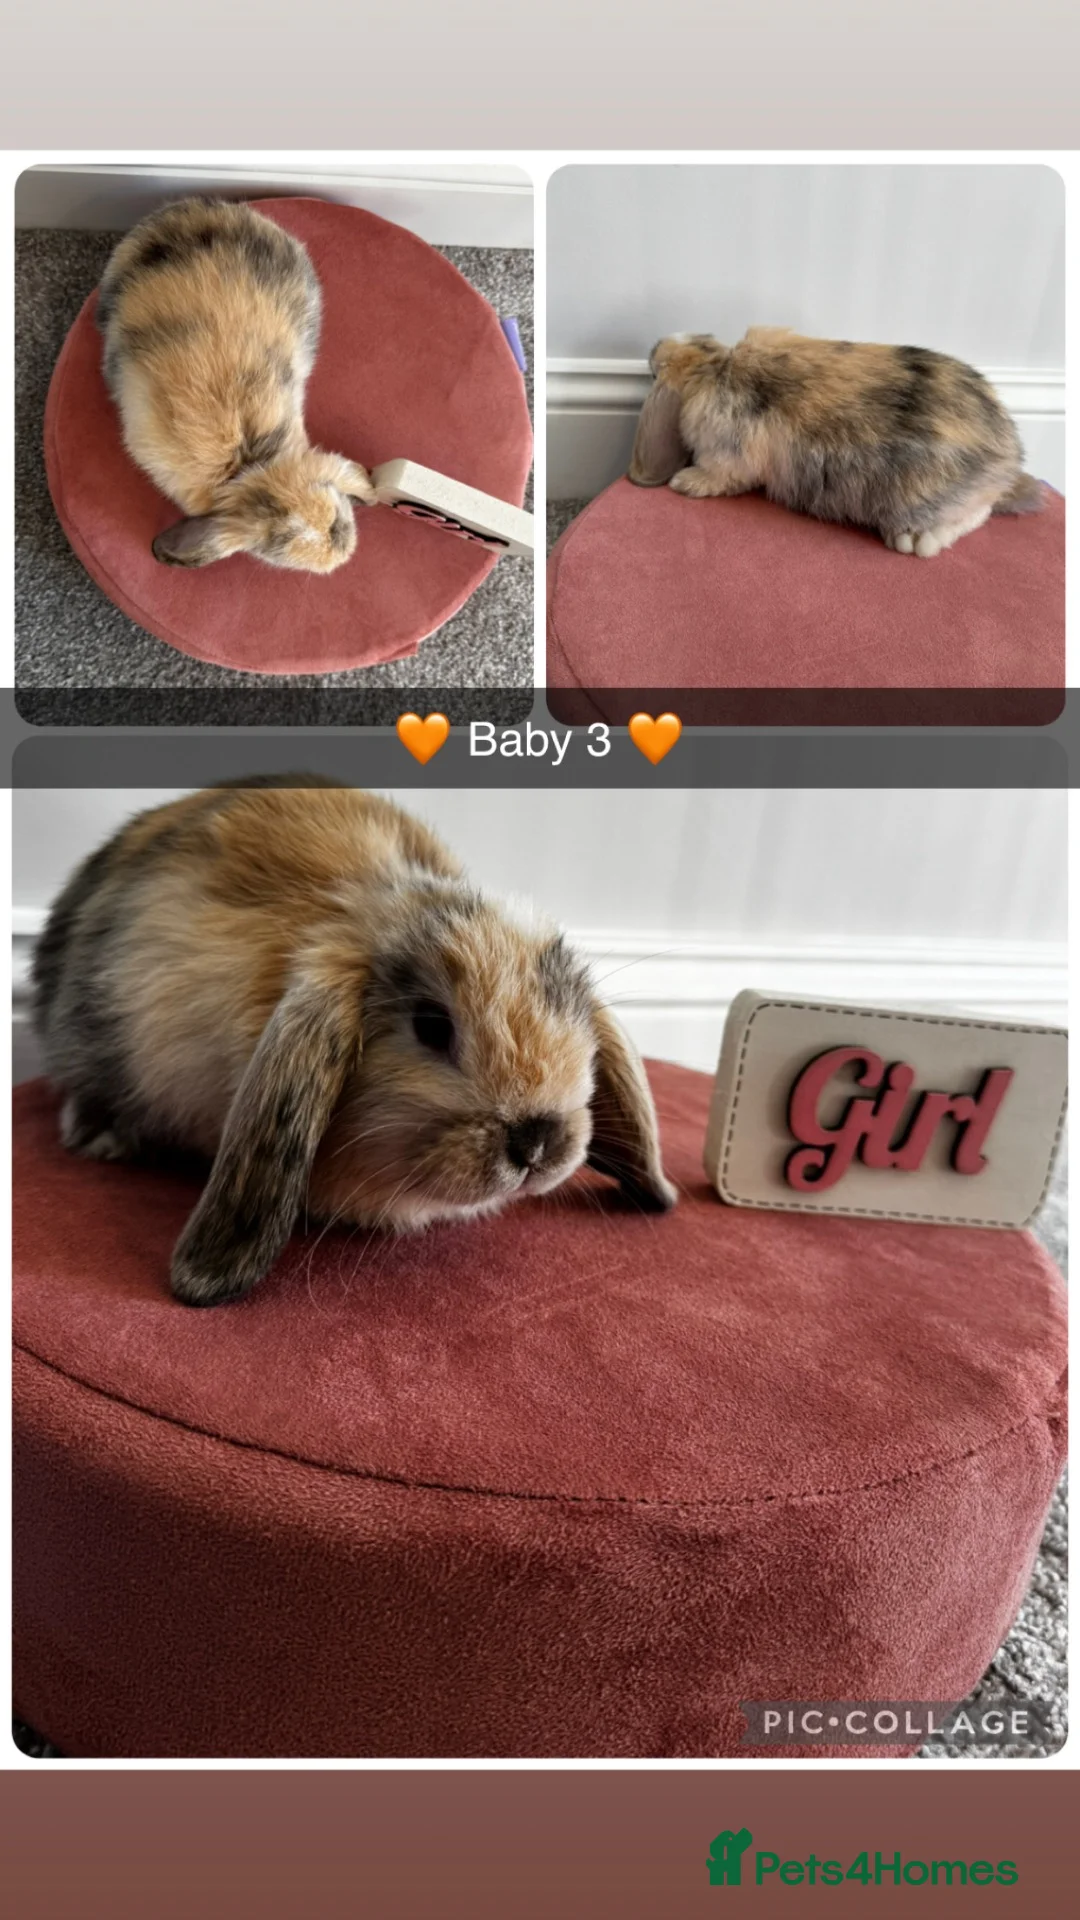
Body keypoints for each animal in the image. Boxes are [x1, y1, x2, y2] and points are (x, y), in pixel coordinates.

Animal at [628, 328, 1044, 557]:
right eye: (700, 336)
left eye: (656, 372)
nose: (653, 346)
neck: (712, 366)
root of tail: (1008, 459)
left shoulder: (728, 456)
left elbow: (721, 476)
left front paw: (685, 482)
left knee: (977, 513)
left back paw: (913, 541)